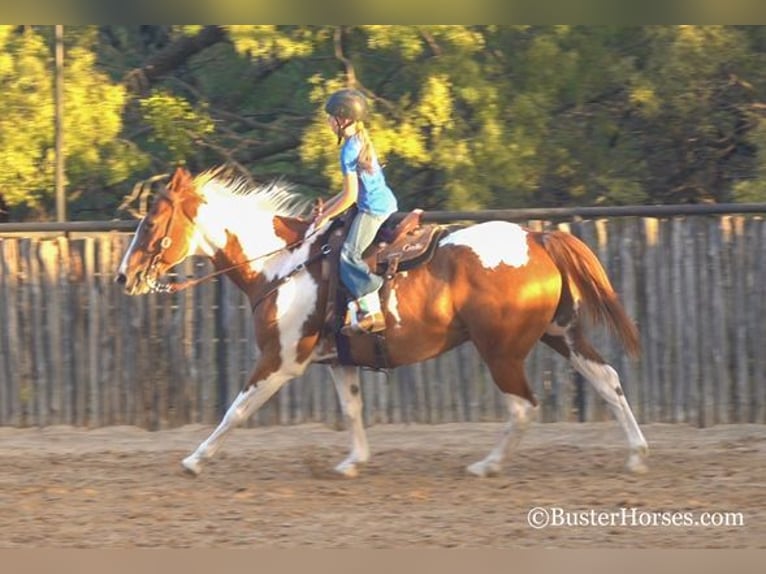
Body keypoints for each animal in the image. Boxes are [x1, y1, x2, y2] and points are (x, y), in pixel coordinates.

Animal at [117, 168, 652, 482]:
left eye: (151, 224)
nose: (124, 276)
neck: (282, 263)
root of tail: (537, 238)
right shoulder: (338, 361)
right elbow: (352, 410)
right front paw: (353, 462)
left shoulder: (280, 360)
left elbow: (237, 409)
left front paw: (195, 459)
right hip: (560, 333)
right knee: (607, 379)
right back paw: (636, 455)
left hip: (501, 351)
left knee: (523, 407)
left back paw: (487, 465)